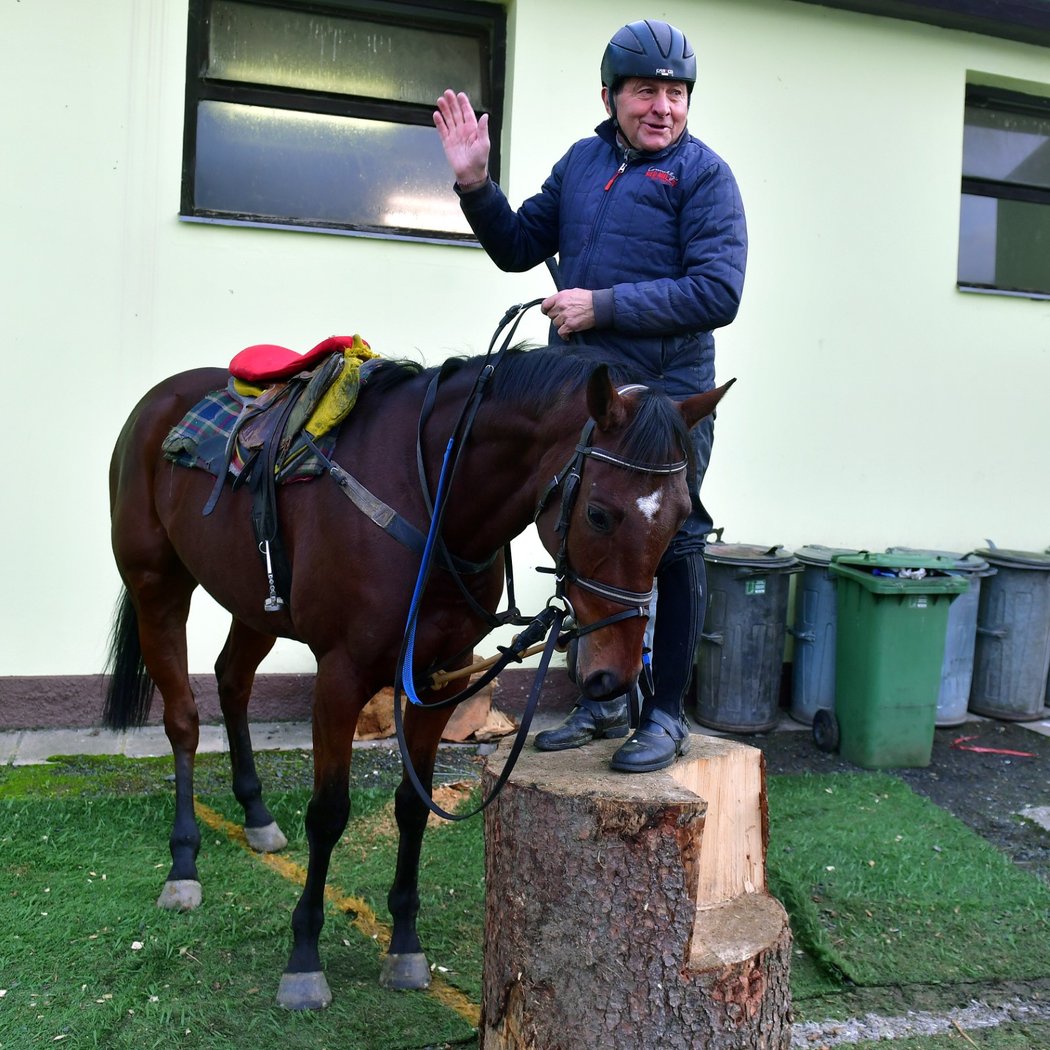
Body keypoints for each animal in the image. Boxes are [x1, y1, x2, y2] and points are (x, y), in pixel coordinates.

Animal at [104, 338, 730, 1007]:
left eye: (682, 516)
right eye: (600, 514)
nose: (616, 673)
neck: (429, 499)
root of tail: (158, 400)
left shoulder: (439, 675)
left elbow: (413, 804)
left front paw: (405, 945)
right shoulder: (341, 674)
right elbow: (328, 813)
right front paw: (304, 957)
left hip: (256, 600)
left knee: (231, 681)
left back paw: (257, 816)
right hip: (157, 583)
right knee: (183, 720)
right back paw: (183, 862)